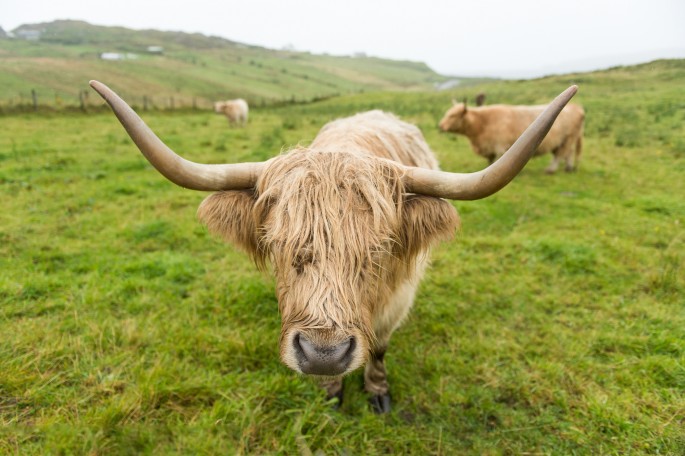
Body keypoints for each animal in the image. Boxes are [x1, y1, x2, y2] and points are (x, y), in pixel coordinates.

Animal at [438, 100, 584, 173]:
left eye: (452, 115)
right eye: (447, 113)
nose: (440, 126)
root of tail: (576, 106)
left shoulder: (500, 147)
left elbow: (496, 160)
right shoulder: (490, 147)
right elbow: (490, 161)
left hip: (568, 138)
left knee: (560, 155)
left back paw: (551, 169)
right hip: (565, 139)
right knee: (568, 153)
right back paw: (568, 168)